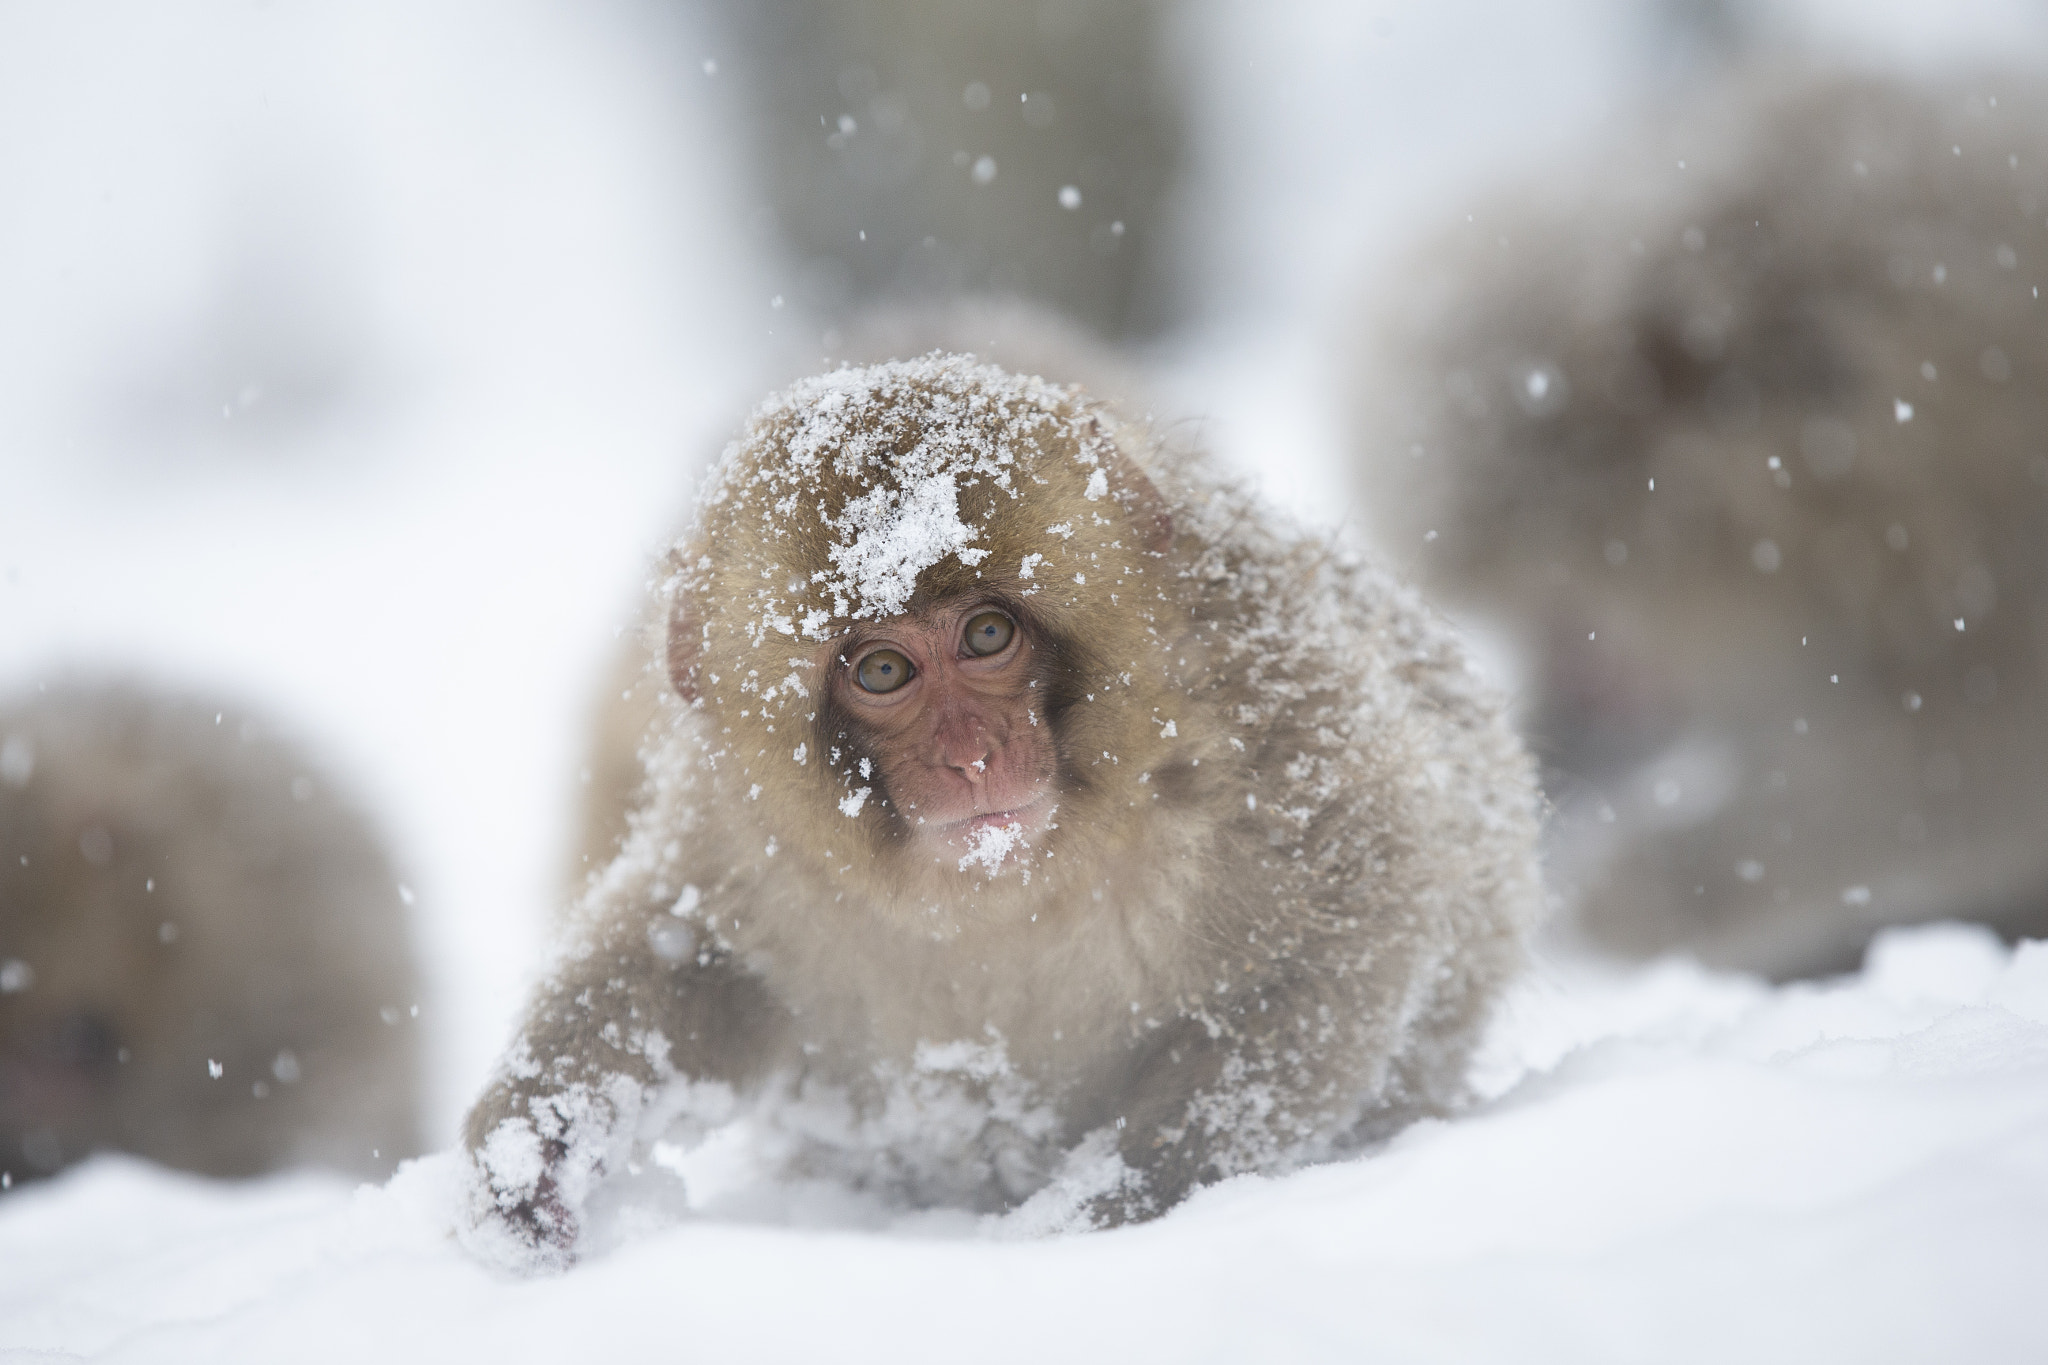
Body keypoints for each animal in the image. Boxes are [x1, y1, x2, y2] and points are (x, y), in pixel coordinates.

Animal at [462, 354, 1542, 1270]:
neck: (1010, 880)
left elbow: (1333, 960)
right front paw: (532, 1147)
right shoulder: (742, 827)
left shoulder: (1277, 732)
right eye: (882, 671)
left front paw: (1088, 1215)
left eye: (986, 634)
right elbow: (688, 958)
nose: (971, 756)